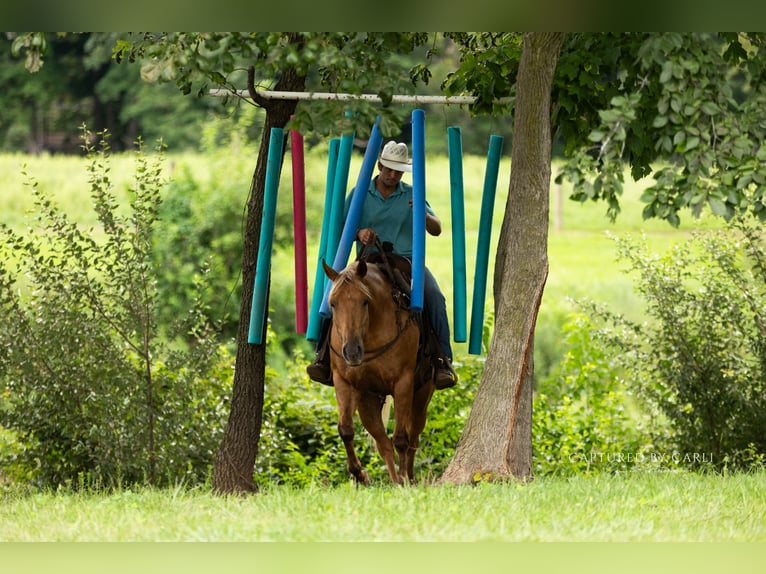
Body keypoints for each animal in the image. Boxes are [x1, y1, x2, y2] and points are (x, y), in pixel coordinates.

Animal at [322, 258, 435, 485]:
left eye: (365, 301)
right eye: (333, 303)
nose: (352, 351)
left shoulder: (403, 383)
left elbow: (401, 438)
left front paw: (404, 478)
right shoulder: (344, 381)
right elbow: (346, 430)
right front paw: (359, 474)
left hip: (421, 396)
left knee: (413, 436)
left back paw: (408, 477)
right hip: (367, 401)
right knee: (382, 442)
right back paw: (394, 480)